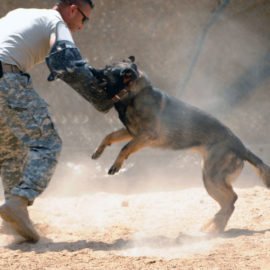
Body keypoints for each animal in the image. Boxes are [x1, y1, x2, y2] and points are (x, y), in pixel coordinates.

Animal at [91, 57, 270, 234]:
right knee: (228, 202)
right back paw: (211, 226)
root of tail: (241, 147)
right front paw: (97, 152)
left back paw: (214, 228)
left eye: (106, 70)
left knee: (231, 200)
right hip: (209, 178)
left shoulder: (146, 135)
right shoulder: (132, 133)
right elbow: (109, 136)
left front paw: (116, 165)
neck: (135, 94)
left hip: (211, 178)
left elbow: (125, 148)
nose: (90, 69)